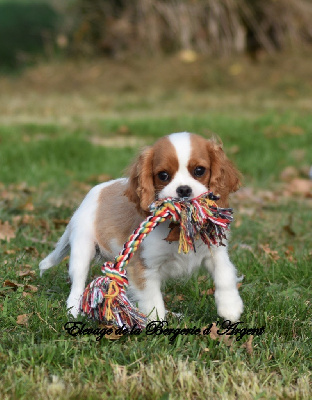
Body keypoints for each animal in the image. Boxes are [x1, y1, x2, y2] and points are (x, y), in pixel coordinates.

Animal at [39, 133, 244, 320]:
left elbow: (225, 274)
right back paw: (74, 310)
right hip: (82, 248)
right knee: (78, 282)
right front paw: (157, 324)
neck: (179, 227)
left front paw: (230, 307)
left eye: (200, 170)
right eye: (163, 175)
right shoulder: (143, 268)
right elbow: (153, 302)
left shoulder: (214, 251)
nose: (184, 190)